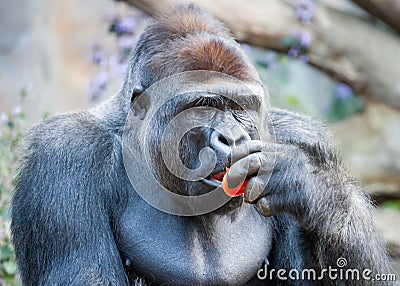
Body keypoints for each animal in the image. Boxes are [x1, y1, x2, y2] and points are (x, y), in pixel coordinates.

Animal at [10, 4, 392, 286]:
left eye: (239, 107)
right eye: (203, 104)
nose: (232, 138)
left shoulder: (305, 135)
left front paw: (312, 185)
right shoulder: (61, 159)